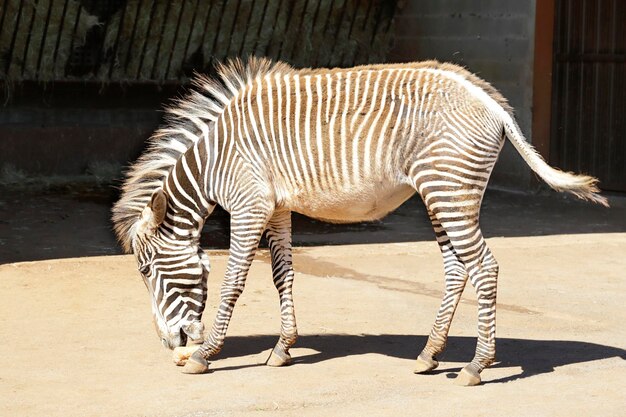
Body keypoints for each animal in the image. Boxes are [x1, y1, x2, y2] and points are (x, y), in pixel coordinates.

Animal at [111, 57, 604, 386]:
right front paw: (282, 348)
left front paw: (206, 354)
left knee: (485, 267)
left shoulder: (249, 205)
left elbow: (234, 280)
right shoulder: (278, 206)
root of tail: (489, 98)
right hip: (442, 192)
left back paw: (476, 366)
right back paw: (429, 354)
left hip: (447, 188)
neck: (213, 160)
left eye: (145, 271)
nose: (170, 345)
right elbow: (282, 274)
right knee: (457, 268)